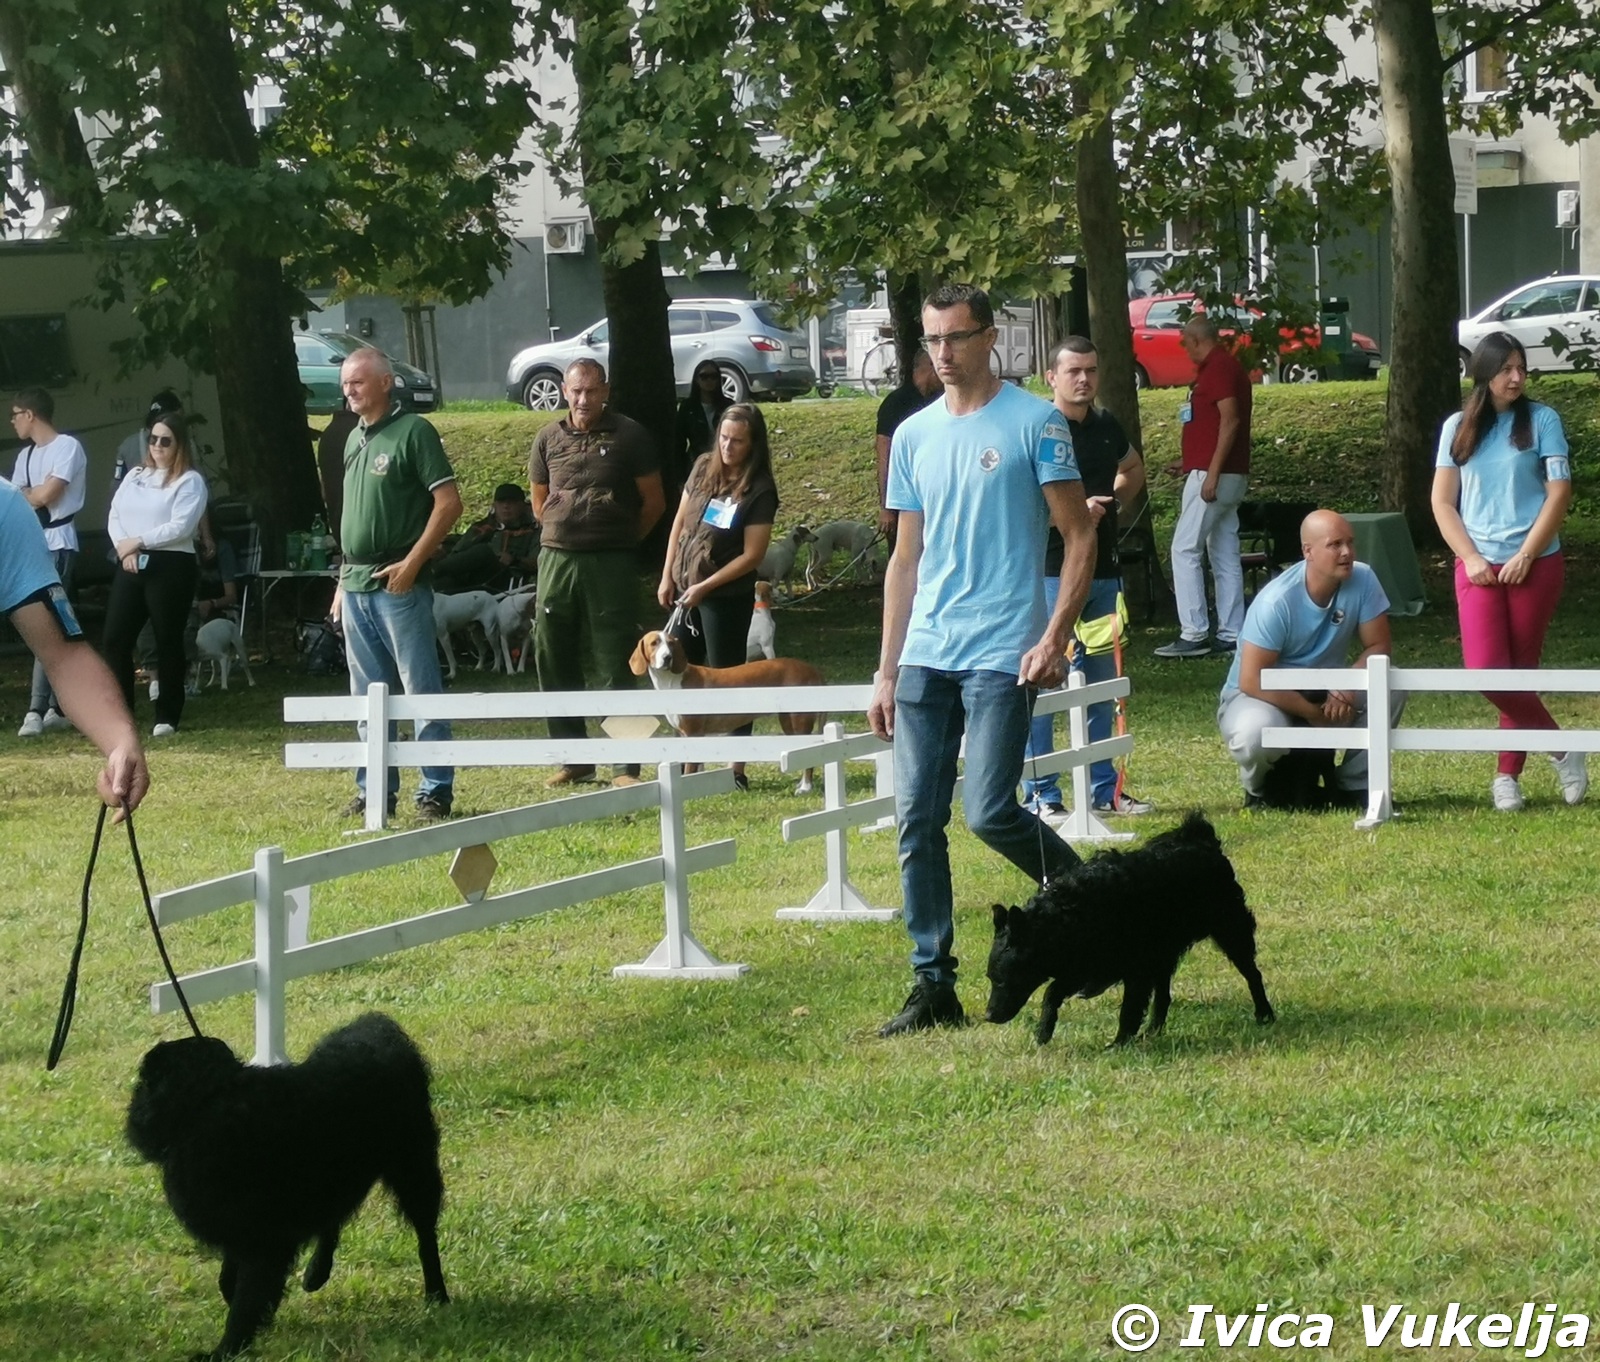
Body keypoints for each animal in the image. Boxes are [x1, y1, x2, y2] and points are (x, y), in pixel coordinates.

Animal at [126, 1013, 448, 1360]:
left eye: (145, 1082)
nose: (135, 1112)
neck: (211, 1101)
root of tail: (378, 1027)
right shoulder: (242, 1228)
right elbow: (231, 1278)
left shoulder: (264, 1240)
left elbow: (246, 1298)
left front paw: (228, 1347)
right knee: (332, 1221)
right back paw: (317, 1272)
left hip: (412, 1167)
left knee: (424, 1233)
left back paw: (437, 1293)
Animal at [627, 629, 823, 793]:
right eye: (654, 643)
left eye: (671, 644)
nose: (667, 657)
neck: (672, 681)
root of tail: (812, 670)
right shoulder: (686, 734)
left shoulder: (693, 733)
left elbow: (690, 768)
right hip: (788, 722)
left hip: (799, 721)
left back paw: (806, 787)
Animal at [984, 811, 1275, 1047]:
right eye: (990, 978)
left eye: (1002, 980)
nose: (988, 1016)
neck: (1066, 917)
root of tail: (1201, 839)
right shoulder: (1085, 964)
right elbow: (1053, 991)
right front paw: (1044, 1030)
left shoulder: (1134, 969)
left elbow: (1129, 1009)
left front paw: (1119, 1043)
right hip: (1163, 953)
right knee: (1164, 996)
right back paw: (1153, 1030)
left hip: (1230, 929)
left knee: (1252, 974)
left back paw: (1264, 1013)